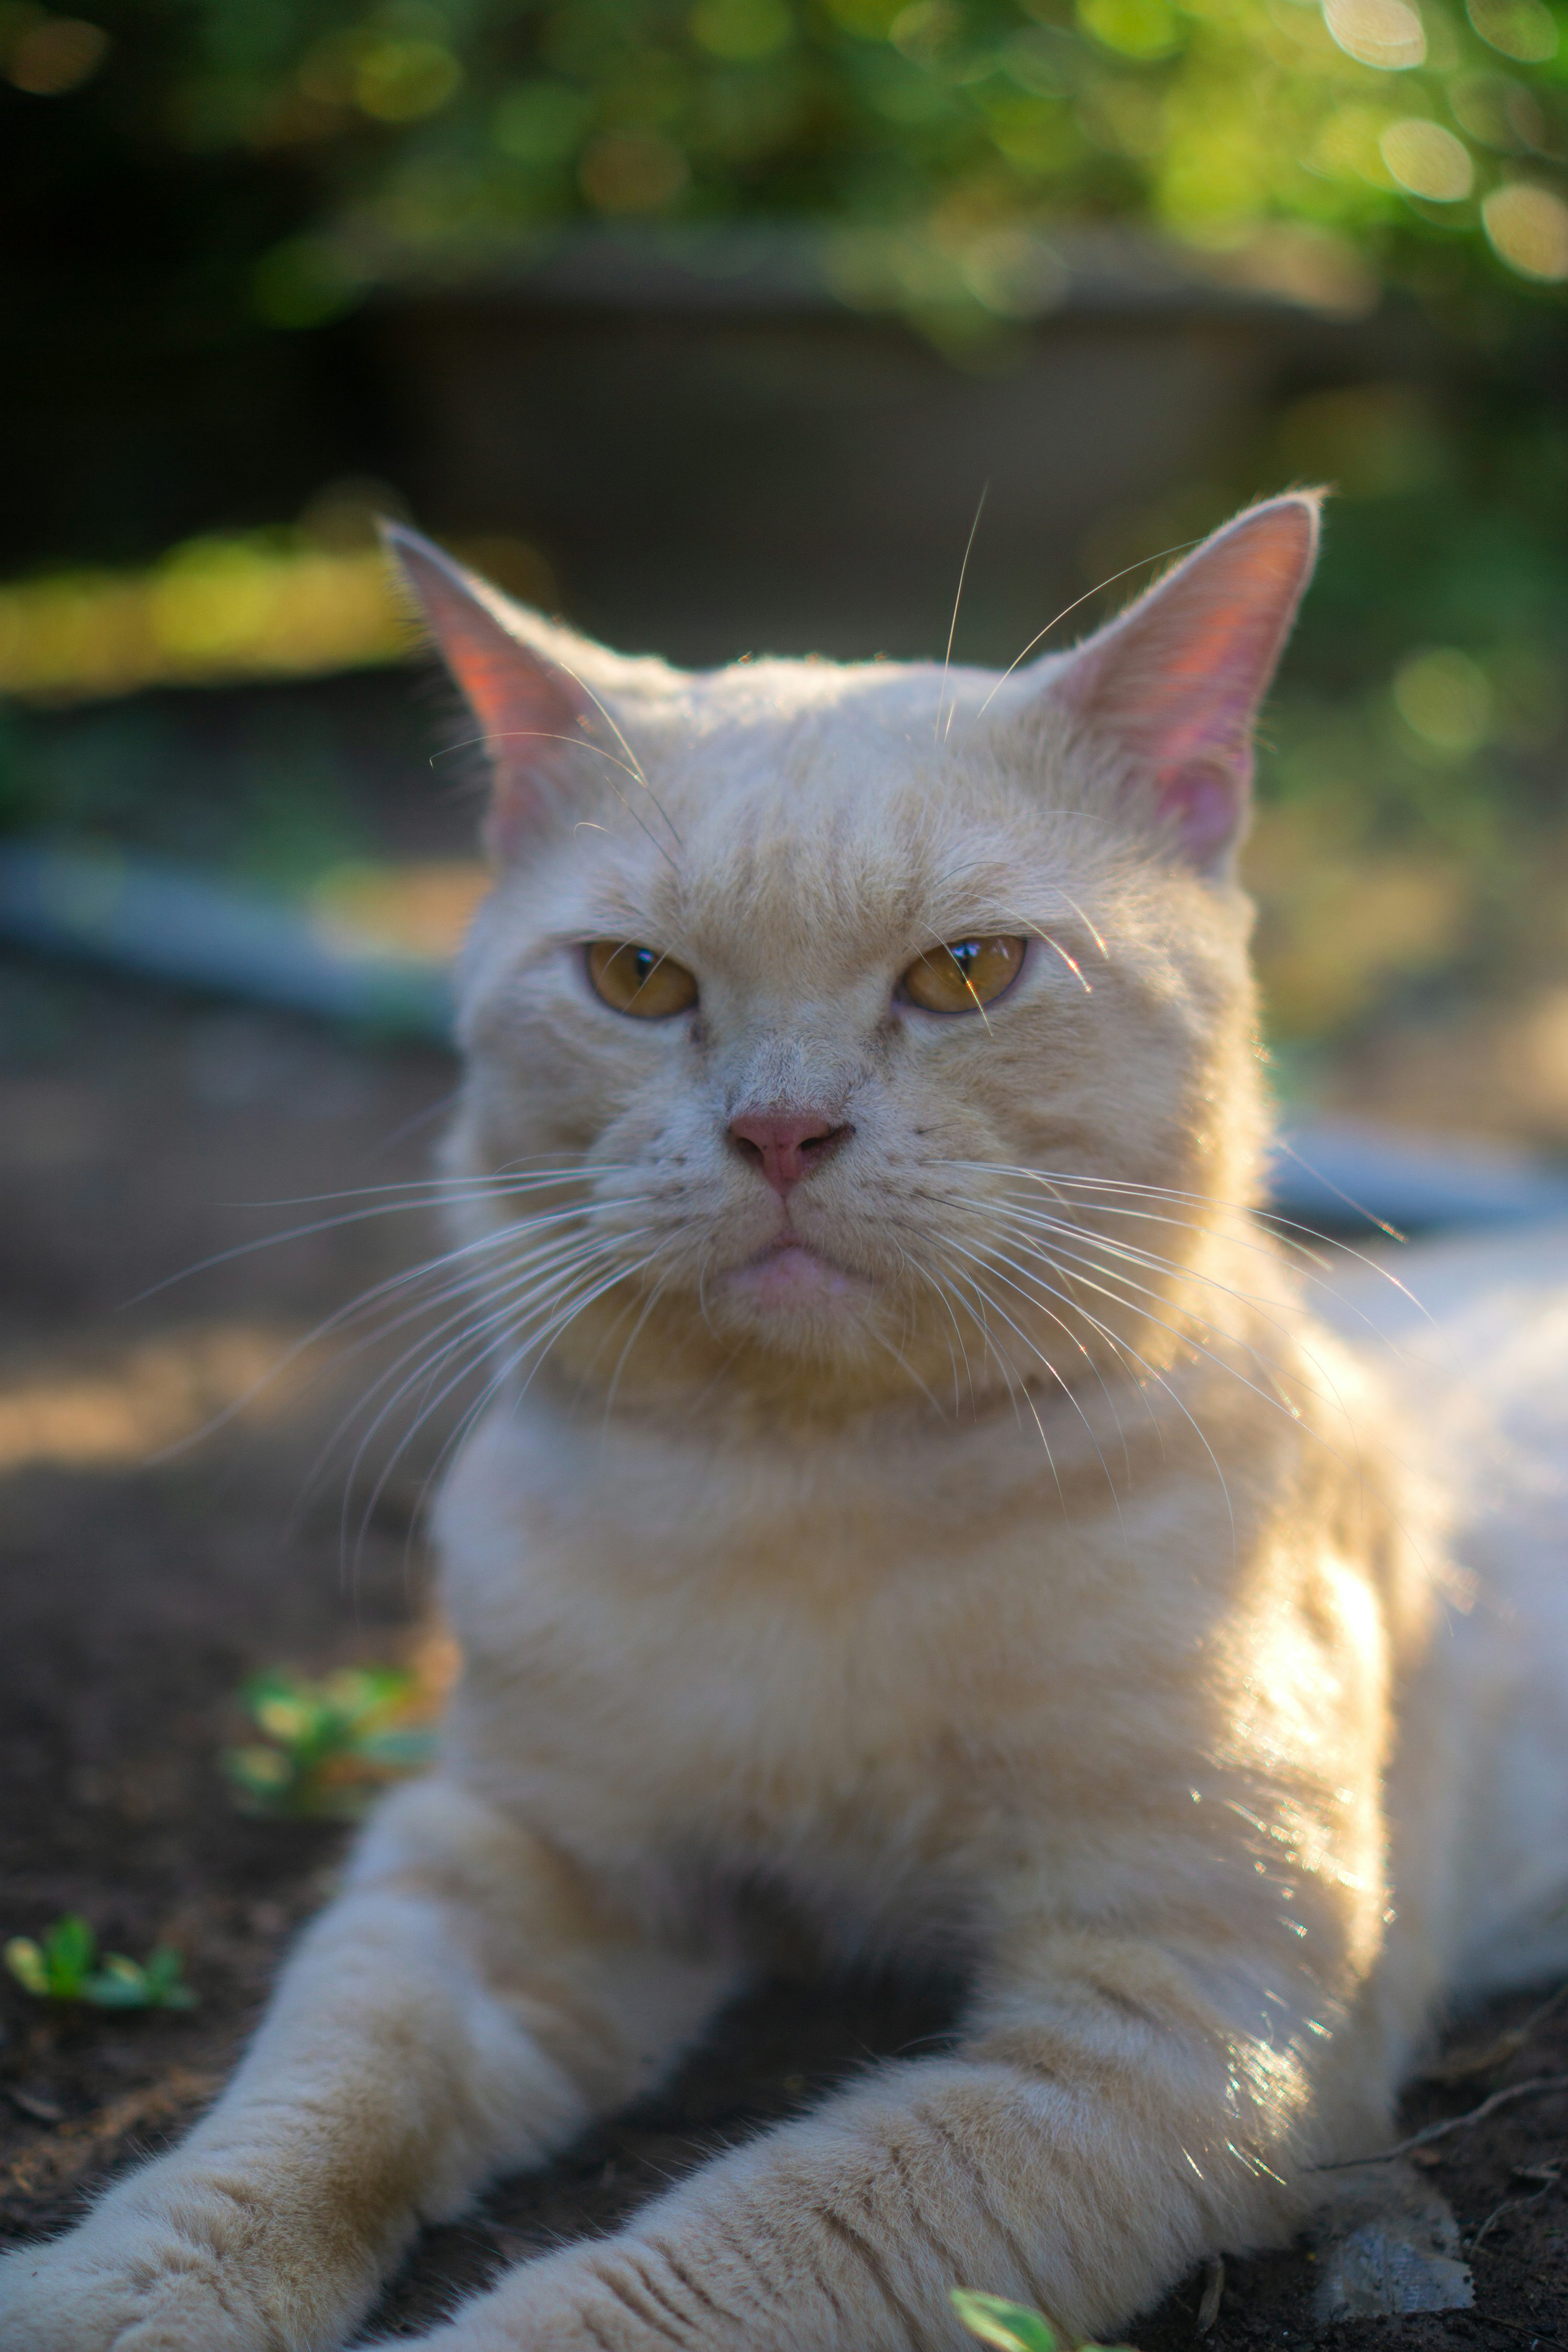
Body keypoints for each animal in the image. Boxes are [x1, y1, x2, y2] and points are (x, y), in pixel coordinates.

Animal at [6, 491, 1561, 2352]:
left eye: (968, 972)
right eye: (635, 978)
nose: (782, 1130)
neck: (815, 1507)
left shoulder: (1178, 2027)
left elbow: (757, 2239)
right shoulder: (496, 1868)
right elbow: (314, 2103)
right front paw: (115, 2297)